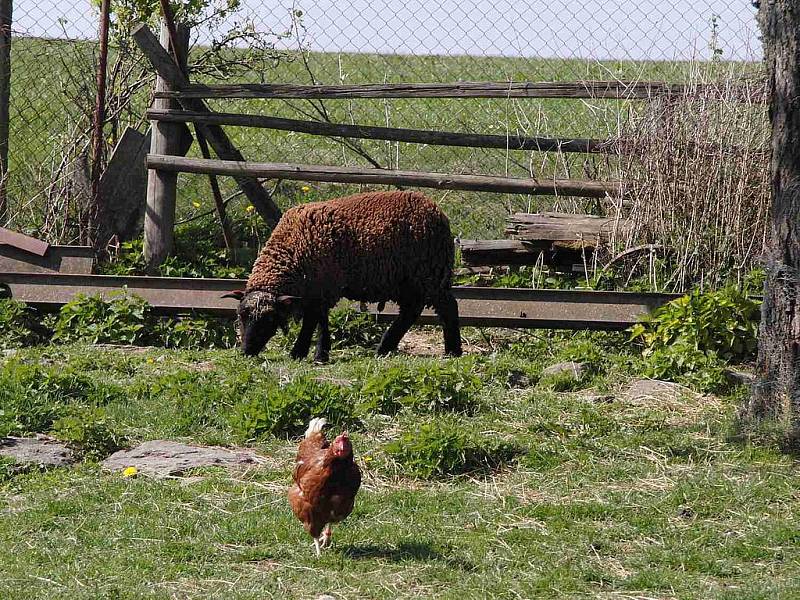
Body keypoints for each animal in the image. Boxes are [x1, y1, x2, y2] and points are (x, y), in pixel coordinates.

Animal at [225, 192, 462, 360]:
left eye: (270, 319)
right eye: (240, 316)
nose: (246, 351)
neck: (292, 250)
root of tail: (437, 211)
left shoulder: (323, 287)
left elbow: (314, 321)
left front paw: (308, 353)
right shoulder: (316, 289)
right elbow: (317, 320)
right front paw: (311, 353)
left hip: (430, 273)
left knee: (448, 307)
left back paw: (453, 351)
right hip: (408, 280)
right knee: (410, 312)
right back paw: (384, 348)